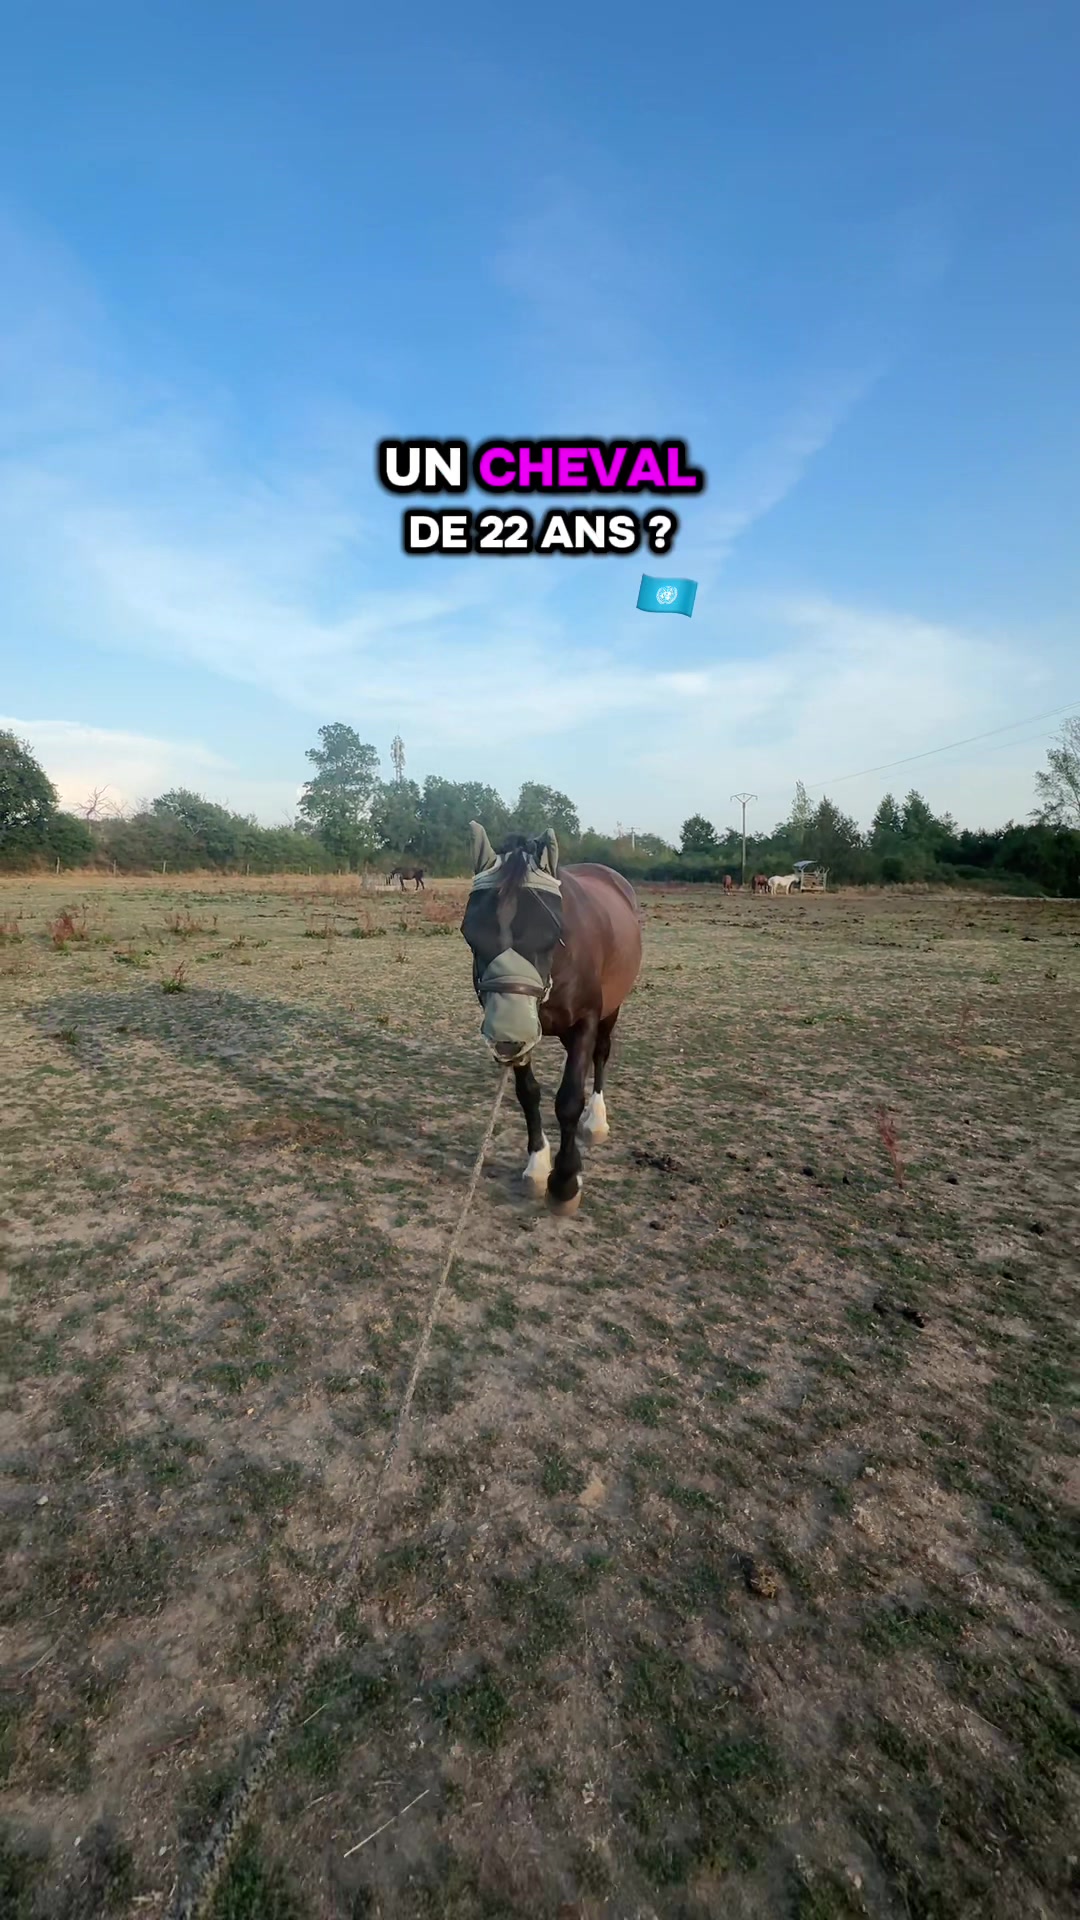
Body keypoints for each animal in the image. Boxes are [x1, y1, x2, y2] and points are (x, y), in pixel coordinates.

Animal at [462, 824, 642, 1215]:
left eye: (552, 933)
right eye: (470, 934)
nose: (506, 1035)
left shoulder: (586, 1020)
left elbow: (569, 1100)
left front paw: (565, 1181)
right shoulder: (522, 1035)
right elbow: (528, 1093)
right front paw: (538, 1164)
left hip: (611, 1010)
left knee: (600, 1055)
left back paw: (597, 1120)